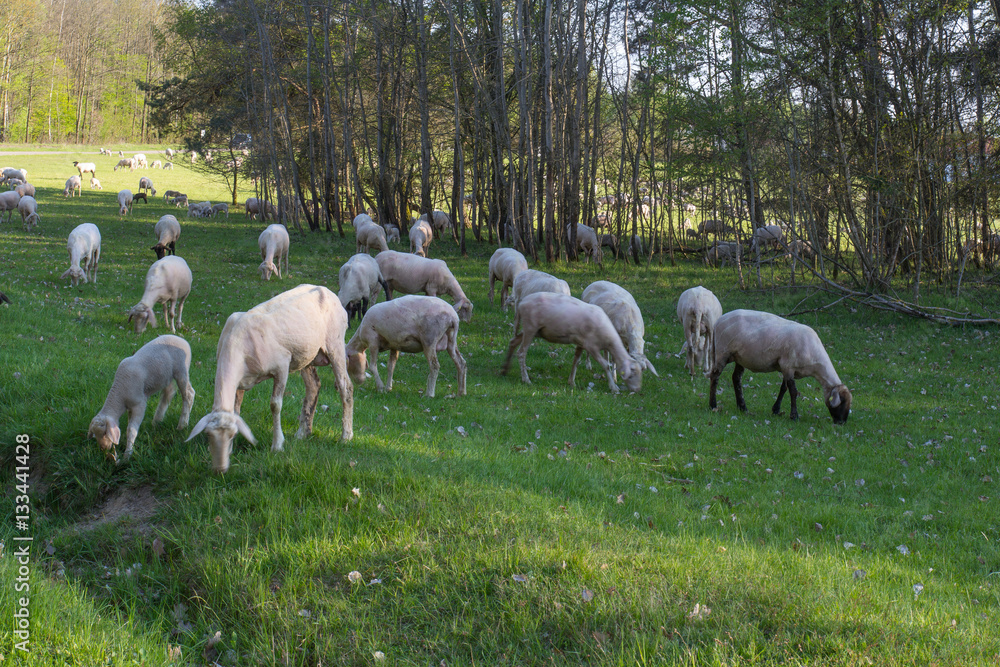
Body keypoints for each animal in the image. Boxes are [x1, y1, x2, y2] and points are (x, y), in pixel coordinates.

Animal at [88, 335, 196, 464]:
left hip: (181, 370)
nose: (103, 449)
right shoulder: (130, 407)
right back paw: (156, 421)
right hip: (166, 376)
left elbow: (131, 430)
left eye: (105, 433)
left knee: (188, 394)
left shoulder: (139, 404)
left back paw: (182, 424)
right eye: (95, 434)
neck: (119, 395)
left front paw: (127, 455)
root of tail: (182, 339)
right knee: (168, 393)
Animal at [185, 284, 355, 474]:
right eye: (208, 435)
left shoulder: (282, 366)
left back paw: (346, 435)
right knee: (313, 386)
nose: (219, 469)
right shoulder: (240, 383)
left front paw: (277, 445)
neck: (236, 344)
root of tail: (327, 291)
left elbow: (275, 405)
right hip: (306, 355)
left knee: (345, 386)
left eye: (231, 435)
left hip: (335, 344)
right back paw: (303, 432)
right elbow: (236, 410)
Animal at [500, 292, 642, 394]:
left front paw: (571, 382)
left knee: (512, 342)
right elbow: (605, 365)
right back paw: (526, 379)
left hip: (535, 331)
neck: (609, 340)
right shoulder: (591, 346)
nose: (637, 390)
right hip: (530, 327)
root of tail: (521, 303)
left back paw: (505, 369)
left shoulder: (581, 343)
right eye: (632, 374)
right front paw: (613, 387)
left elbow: (576, 361)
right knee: (521, 353)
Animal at [708, 309, 852, 424]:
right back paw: (713, 405)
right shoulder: (788, 366)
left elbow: (784, 388)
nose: (841, 422)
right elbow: (793, 391)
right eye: (842, 401)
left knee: (736, 378)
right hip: (722, 352)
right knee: (715, 376)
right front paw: (794, 416)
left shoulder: (787, 368)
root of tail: (719, 320)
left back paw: (743, 407)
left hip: (740, 357)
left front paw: (776, 410)